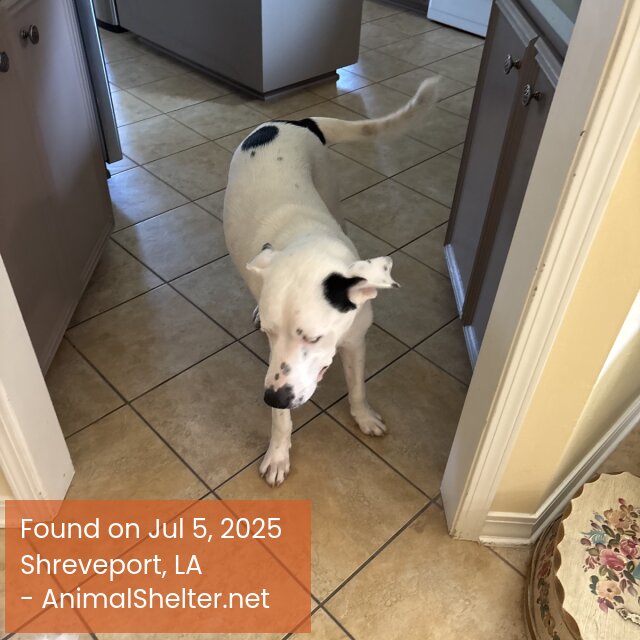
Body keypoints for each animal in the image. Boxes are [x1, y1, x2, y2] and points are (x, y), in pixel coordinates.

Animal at [223, 78, 438, 486]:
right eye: (272, 334)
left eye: (313, 337)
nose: (272, 398)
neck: (307, 237)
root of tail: (292, 121)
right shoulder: (277, 368)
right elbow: (281, 420)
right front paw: (278, 453)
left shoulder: (356, 341)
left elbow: (357, 386)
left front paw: (364, 416)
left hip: (330, 187)